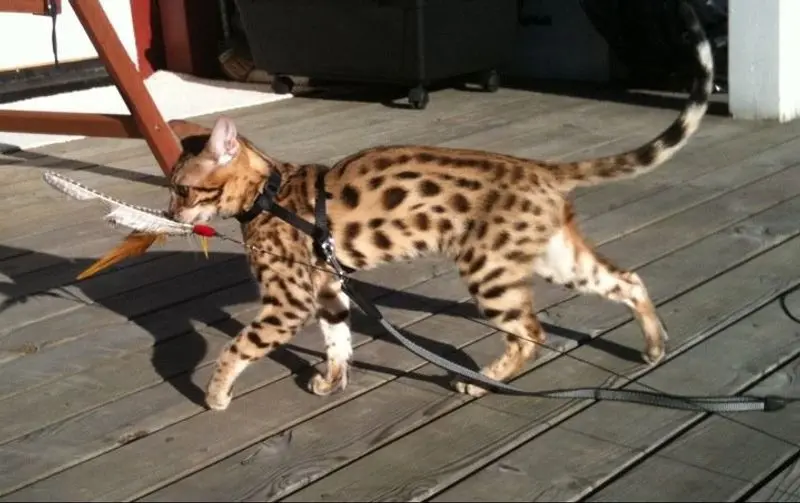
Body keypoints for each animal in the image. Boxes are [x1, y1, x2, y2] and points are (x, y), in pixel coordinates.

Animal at [165, 2, 713, 411]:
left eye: (184, 191)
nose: (171, 216)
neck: (270, 191)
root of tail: (539, 168)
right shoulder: (327, 288)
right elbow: (339, 339)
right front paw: (332, 380)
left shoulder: (288, 299)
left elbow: (237, 347)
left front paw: (215, 393)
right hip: (557, 258)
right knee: (628, 281)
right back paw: (654, 345)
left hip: (488, 267)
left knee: (529, 333)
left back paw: (482, 380)